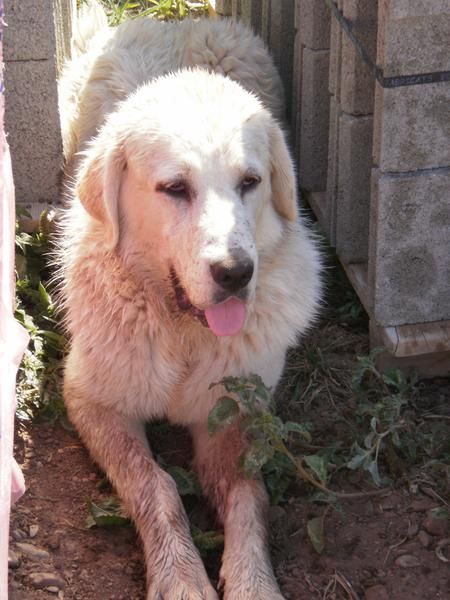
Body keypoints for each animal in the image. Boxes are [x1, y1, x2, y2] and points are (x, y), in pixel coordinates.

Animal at [58, 2, 322, 596]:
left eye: (250, 182)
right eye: (175, 188)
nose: (235, 272)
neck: (182, 331)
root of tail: (174, 23)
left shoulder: (235, 412)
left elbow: (249, 497)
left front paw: (253, 582)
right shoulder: (91, 399)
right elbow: (155, 485)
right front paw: (180, 577)